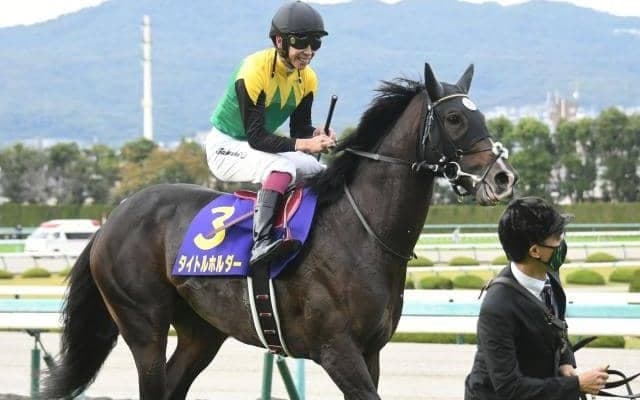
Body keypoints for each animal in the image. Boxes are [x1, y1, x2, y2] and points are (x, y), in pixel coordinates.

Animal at [42, 63, 518, 400]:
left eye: (479, 115)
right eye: (454, 118)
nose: (503, 177)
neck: (359, 231)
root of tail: (112, 219)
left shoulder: (371, 351)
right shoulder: (337, 350)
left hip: (202, 330)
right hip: (143, 324)